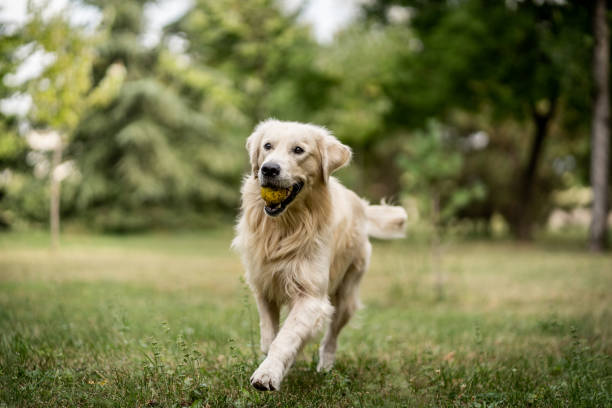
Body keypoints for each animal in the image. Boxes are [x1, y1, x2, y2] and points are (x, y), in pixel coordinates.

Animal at [233, 119, 406, 390]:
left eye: (298, 150)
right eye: (267, 146)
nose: (268, 169)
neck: (286, 227)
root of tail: (361, 205)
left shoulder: (311, 296)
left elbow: (285, 337)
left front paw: (267, 374)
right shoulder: (264, 287)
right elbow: (270, 336)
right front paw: (275, 363)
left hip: (345, 295)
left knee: (331, 336)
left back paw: (325, 367)